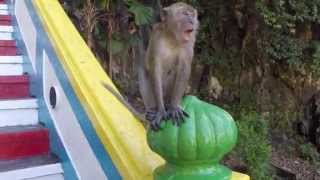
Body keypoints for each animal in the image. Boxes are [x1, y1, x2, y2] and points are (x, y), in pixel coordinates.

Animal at [103, 2, 198, 131]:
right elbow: (155, 69)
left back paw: (169, 105)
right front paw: (161, 111)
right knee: (144, 72)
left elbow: (184, 69)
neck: (173, 38)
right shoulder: (157, 38)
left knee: (174, 72)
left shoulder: (189, 43)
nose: (191, 21)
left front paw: (174, 107)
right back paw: (152, 111)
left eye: (192, 15)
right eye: (185, 14)